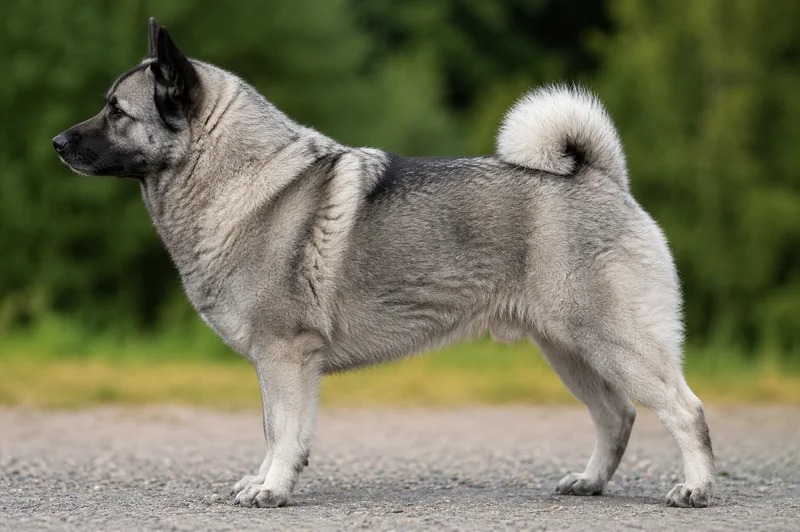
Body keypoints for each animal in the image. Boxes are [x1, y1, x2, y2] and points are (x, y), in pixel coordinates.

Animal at [53, 18, 715, 508]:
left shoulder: (285, 355)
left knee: (685, 410)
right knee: (616, 416)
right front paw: (265, 480)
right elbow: (276, 430)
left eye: (116, 111)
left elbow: (282, 431)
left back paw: (695, 488)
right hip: (569, 350)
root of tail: (603, 177)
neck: (231, 176)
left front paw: (271, 489)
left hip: (613, 341)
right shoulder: (280, 363)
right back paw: (590, 482)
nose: (58, 143)